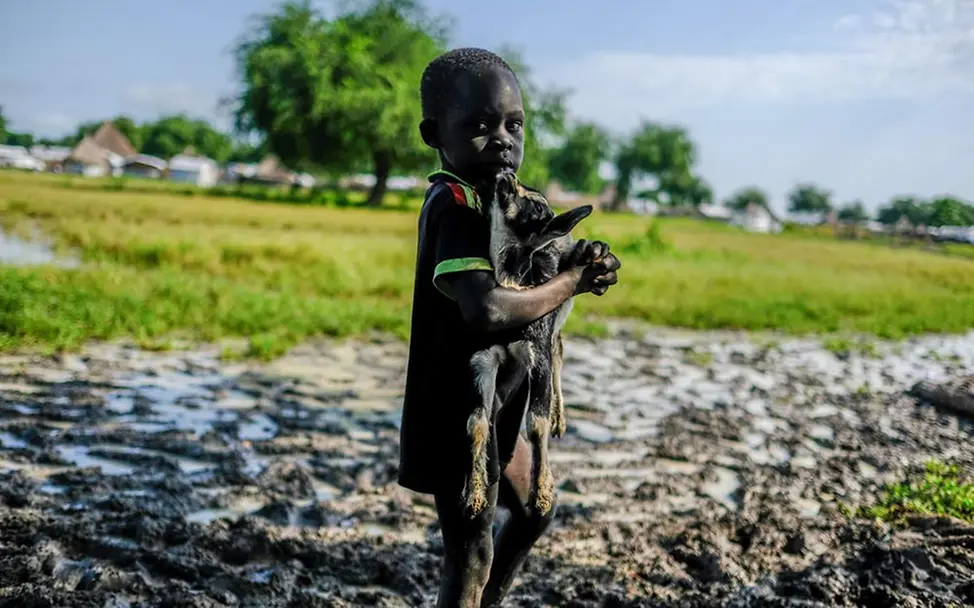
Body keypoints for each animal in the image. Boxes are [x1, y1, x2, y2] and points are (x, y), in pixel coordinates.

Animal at [463, 172, 593, 517]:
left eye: (536, 206)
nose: (507, 175)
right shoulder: (482, 358)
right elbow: (476, 422)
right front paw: (473, 494)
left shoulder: (538, 356)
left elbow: (536, 422)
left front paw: (541, 493)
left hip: (560, 314)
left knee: (559, 350)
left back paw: (560, 417)